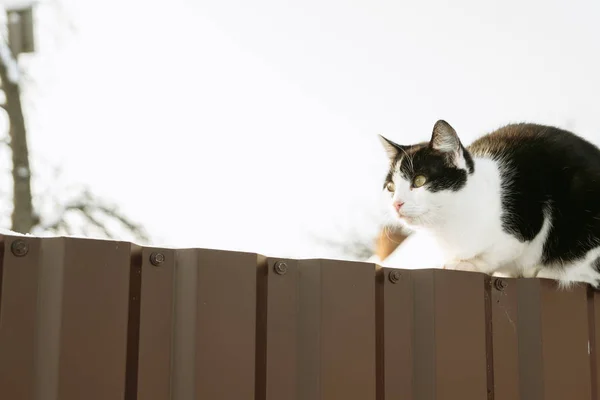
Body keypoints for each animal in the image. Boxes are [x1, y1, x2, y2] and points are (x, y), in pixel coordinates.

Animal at [378, 119, 600, 288]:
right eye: (390, 187)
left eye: (419, 180)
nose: (396, 204)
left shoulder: (527, 216)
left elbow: (502, 250)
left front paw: (467, 265)